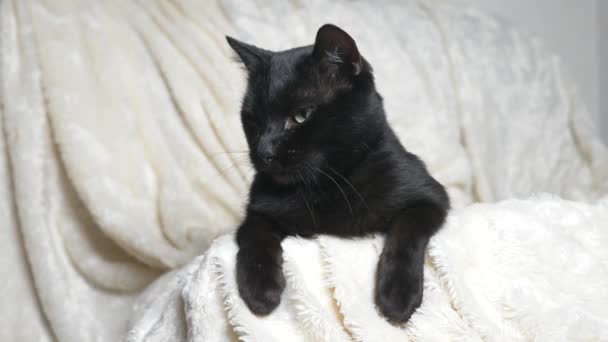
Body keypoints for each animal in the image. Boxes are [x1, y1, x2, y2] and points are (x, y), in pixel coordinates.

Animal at [226, 24, 448, 324]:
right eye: (252, 121)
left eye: (302, 115)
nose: (264, 152)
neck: (325, 185)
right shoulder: (259, 209)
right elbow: (253, 232)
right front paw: (259, 288)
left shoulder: (430, 196)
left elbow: (407, 232)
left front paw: (398, 295)